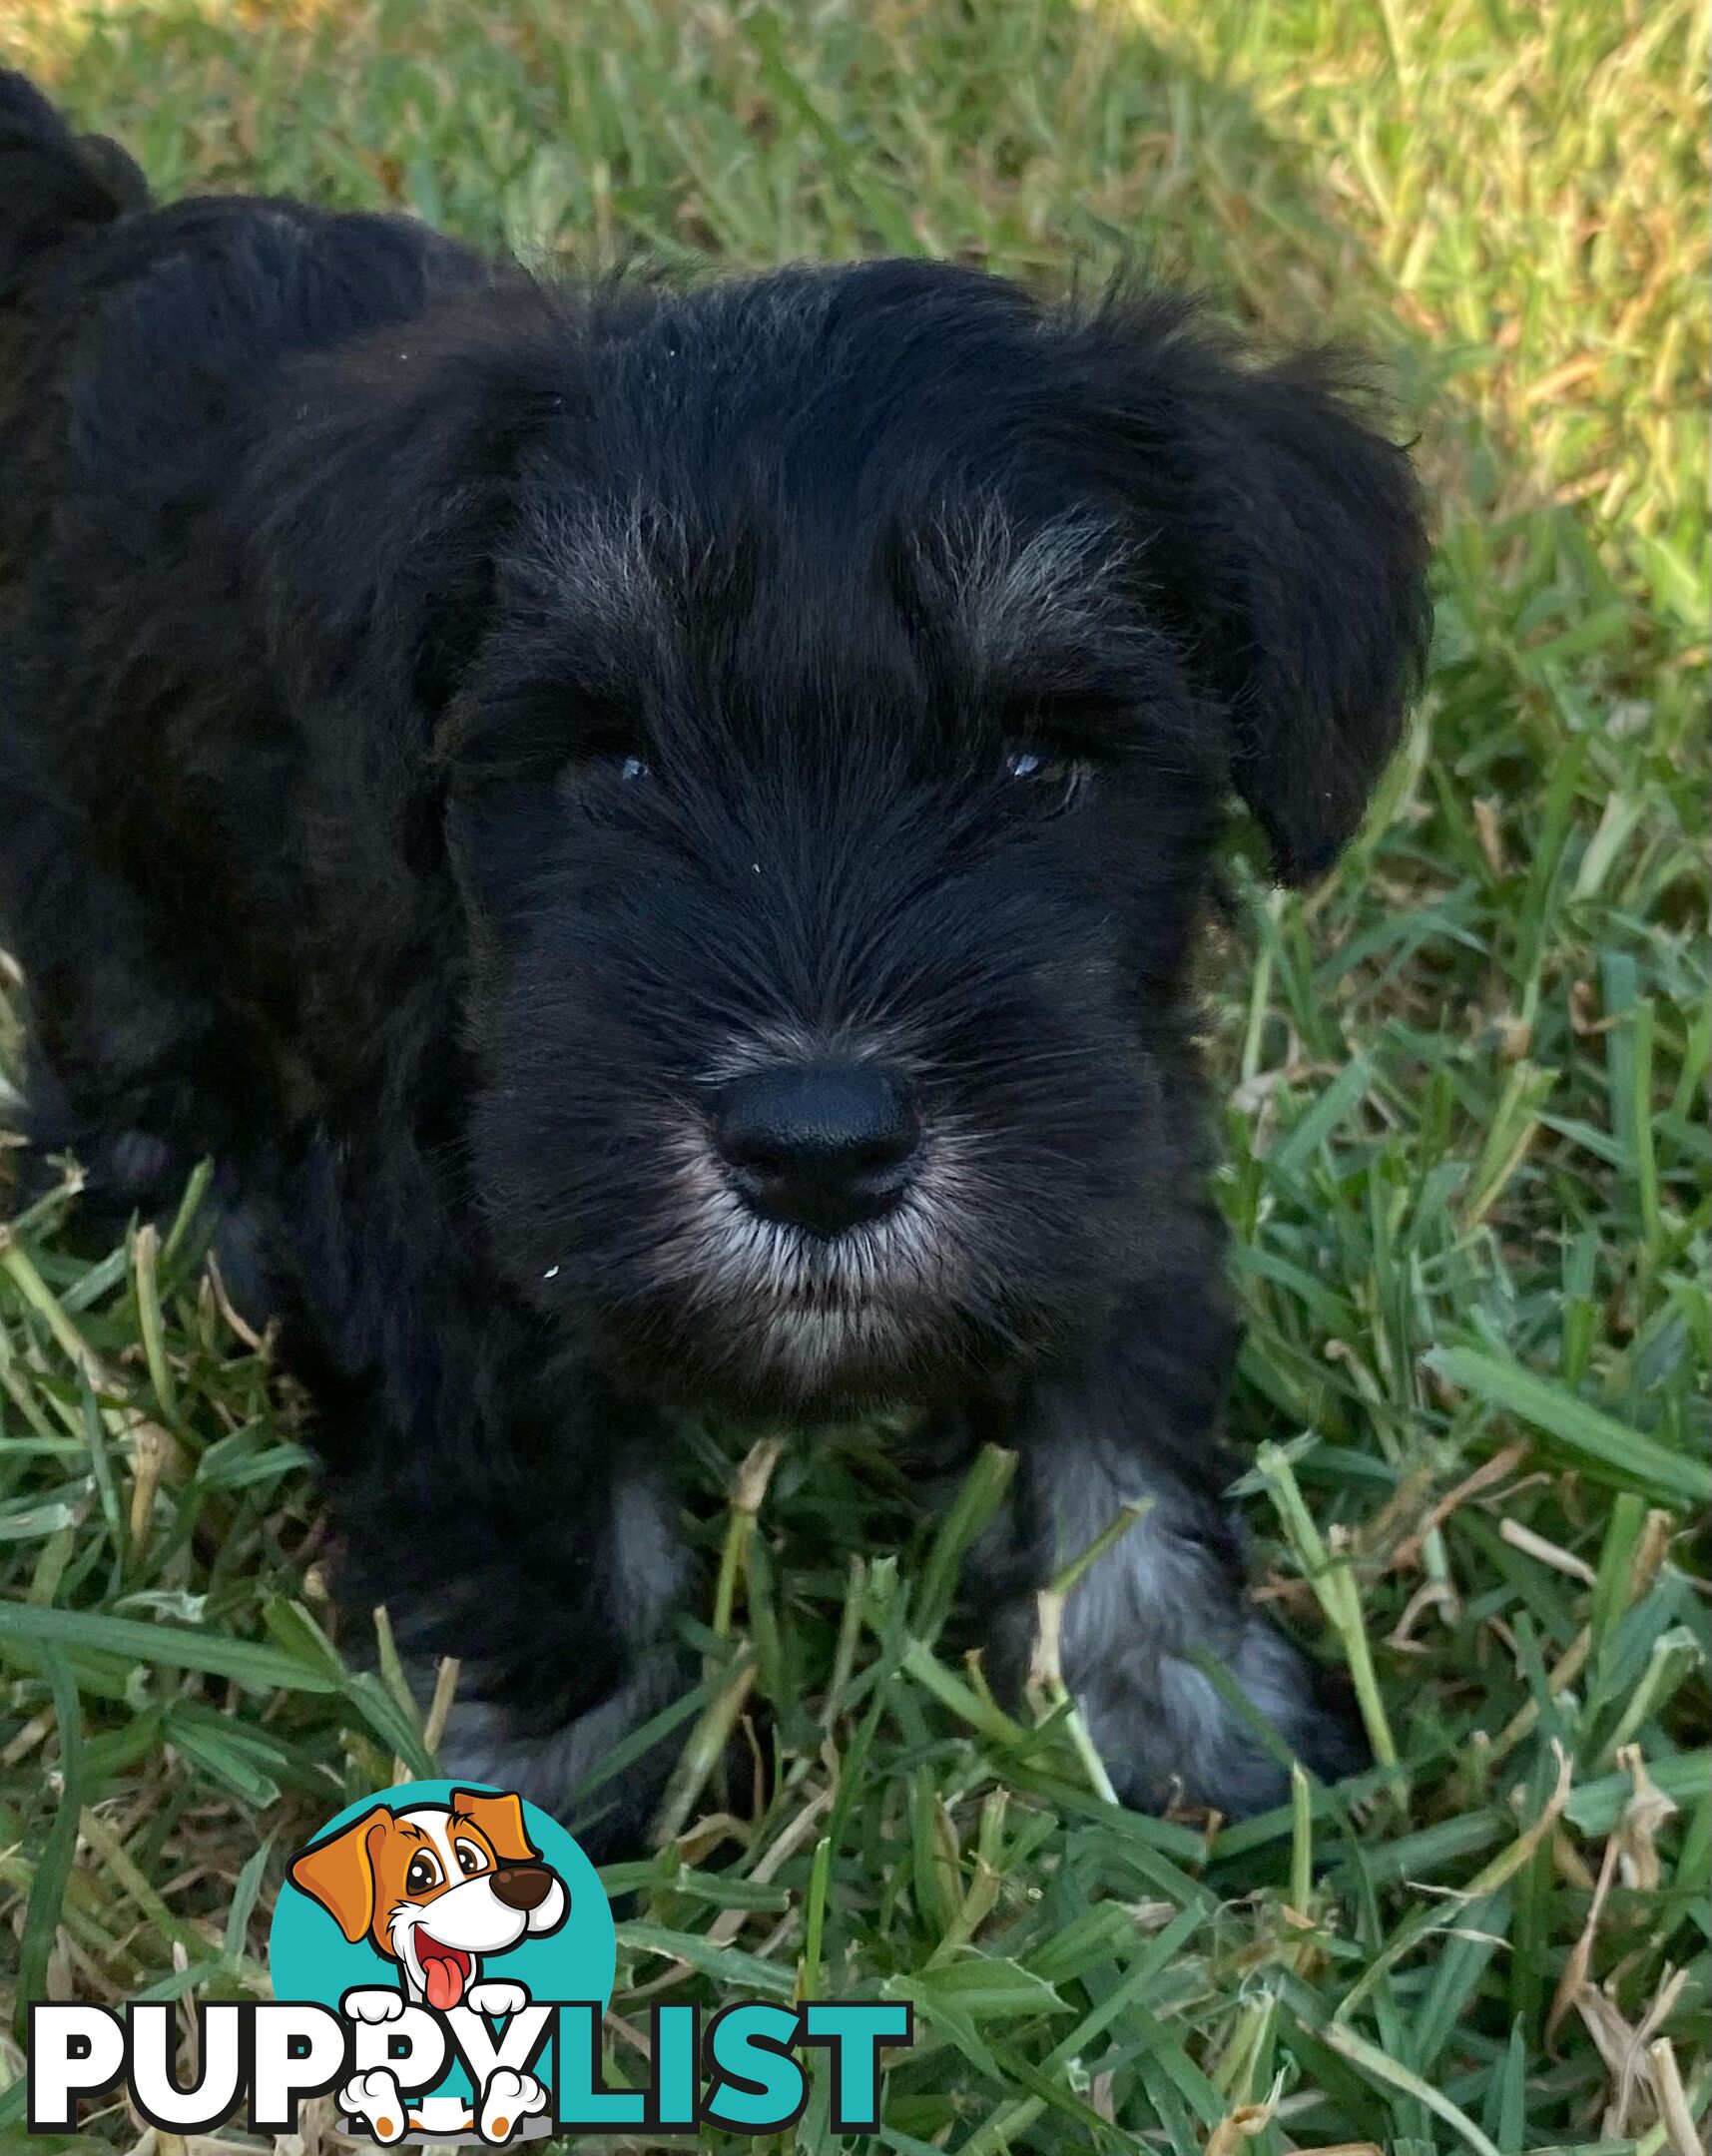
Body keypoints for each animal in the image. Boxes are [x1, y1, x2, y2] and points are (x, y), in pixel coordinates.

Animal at [0, 76, 1431, 1845]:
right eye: (610, 760)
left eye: (1040, 757)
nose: (815, 1151)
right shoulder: (449, 1227)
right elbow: (532, 1502)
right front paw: (550, 1785)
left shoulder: (1112, 1164)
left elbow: (1118, 1437)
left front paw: (1180, 1717)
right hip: (90, 842)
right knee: (126, 1058)